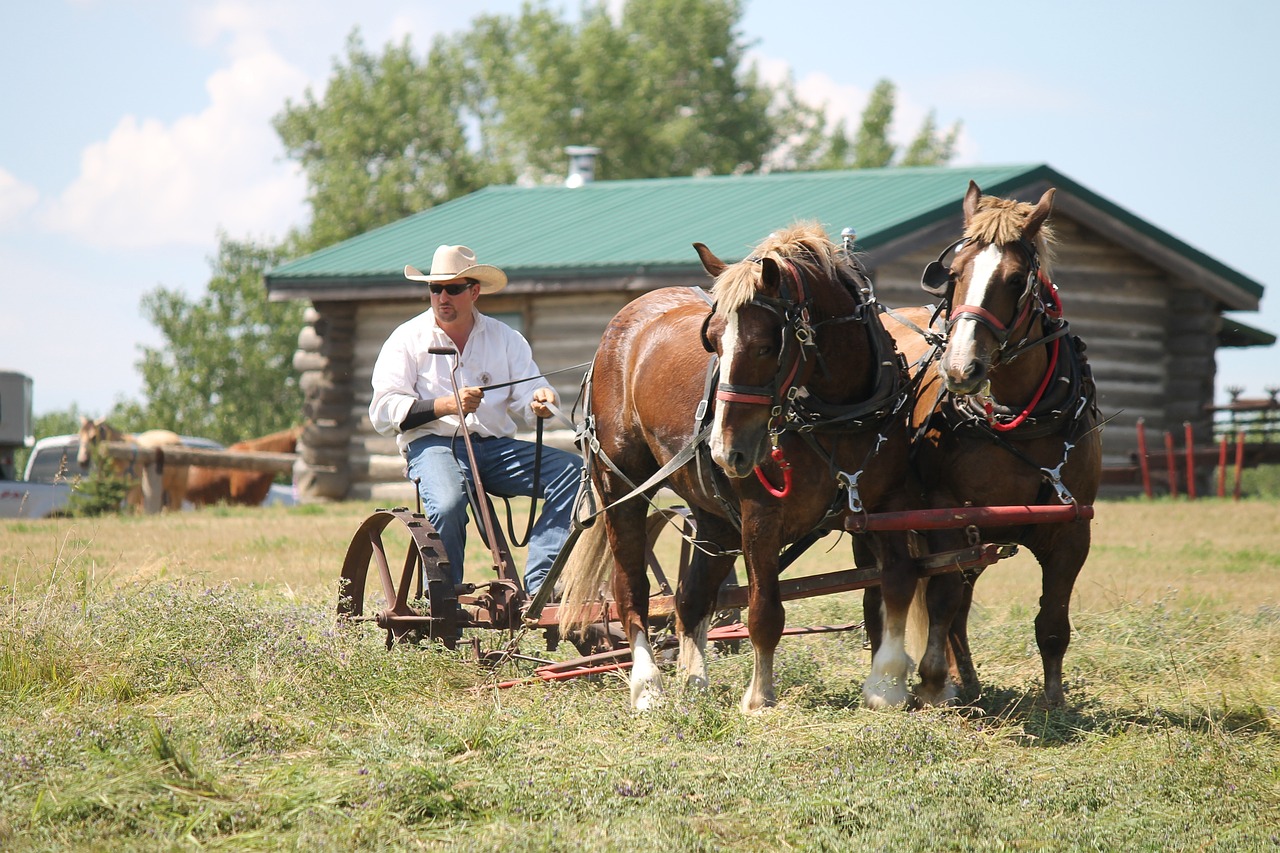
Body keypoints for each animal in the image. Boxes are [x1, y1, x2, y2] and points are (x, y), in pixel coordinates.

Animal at [565, 220, 926, 712]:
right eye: (713, 340)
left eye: (765, 346)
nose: (724, 451)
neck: (839, 415)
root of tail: (623, 324)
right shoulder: (761, 517)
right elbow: (765, 611)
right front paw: (758, 698)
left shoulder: (889, 506)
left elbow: (898, 582)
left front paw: (886, 684)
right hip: (622, 488)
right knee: (631, 590)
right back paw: (648, 685)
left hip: (713, 514)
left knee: (691, 598)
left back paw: (694, 682)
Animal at [875, 179, 1105, 701]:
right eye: (955, 273)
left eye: (1017, 280)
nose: (961, 369)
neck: (1022, 420)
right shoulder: (948, 514)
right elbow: (941, 600)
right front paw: (932, 682)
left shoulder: (1072, 530)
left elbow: (1053, 621)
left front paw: (1054, 700)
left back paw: (970, 681)